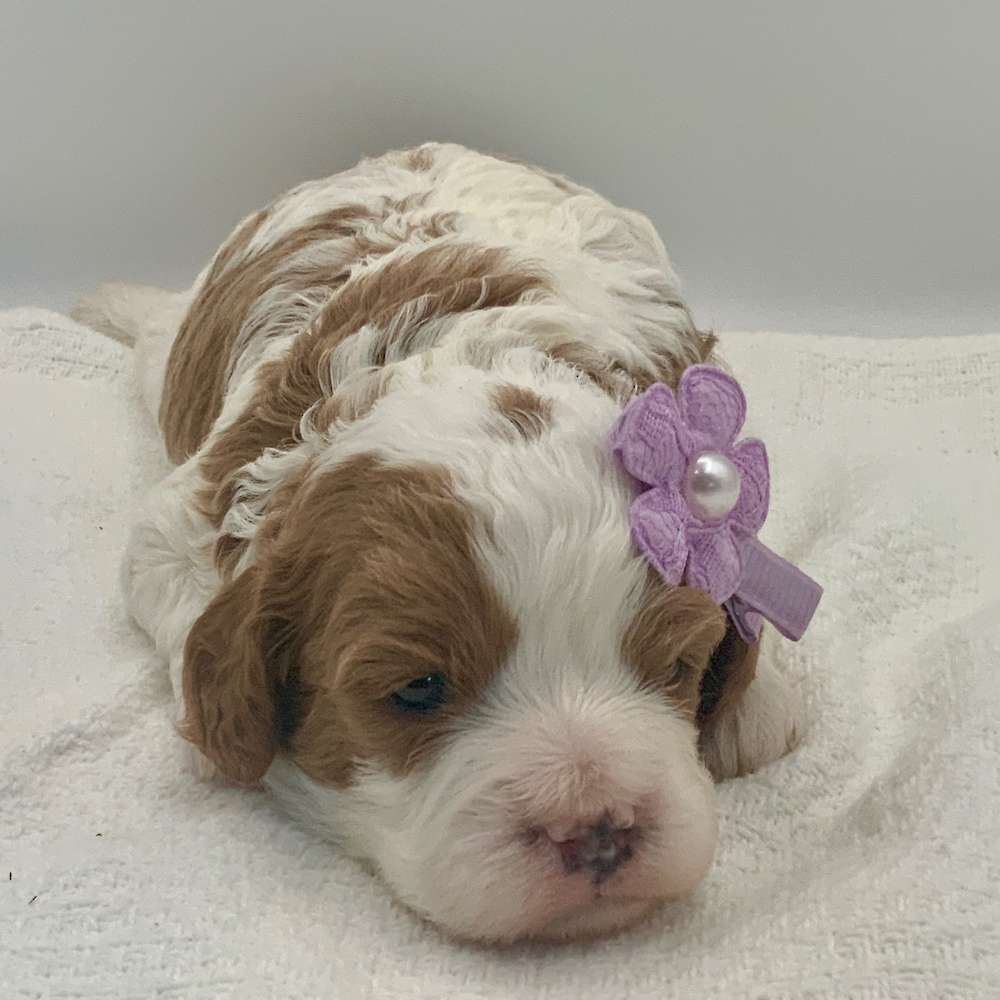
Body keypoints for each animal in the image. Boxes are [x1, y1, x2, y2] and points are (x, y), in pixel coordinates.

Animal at [74, 143, 800, 943]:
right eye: (417, 689)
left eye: (678, 665)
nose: (597, 828)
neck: (471, 357)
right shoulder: (181, 520)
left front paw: (759, 703)